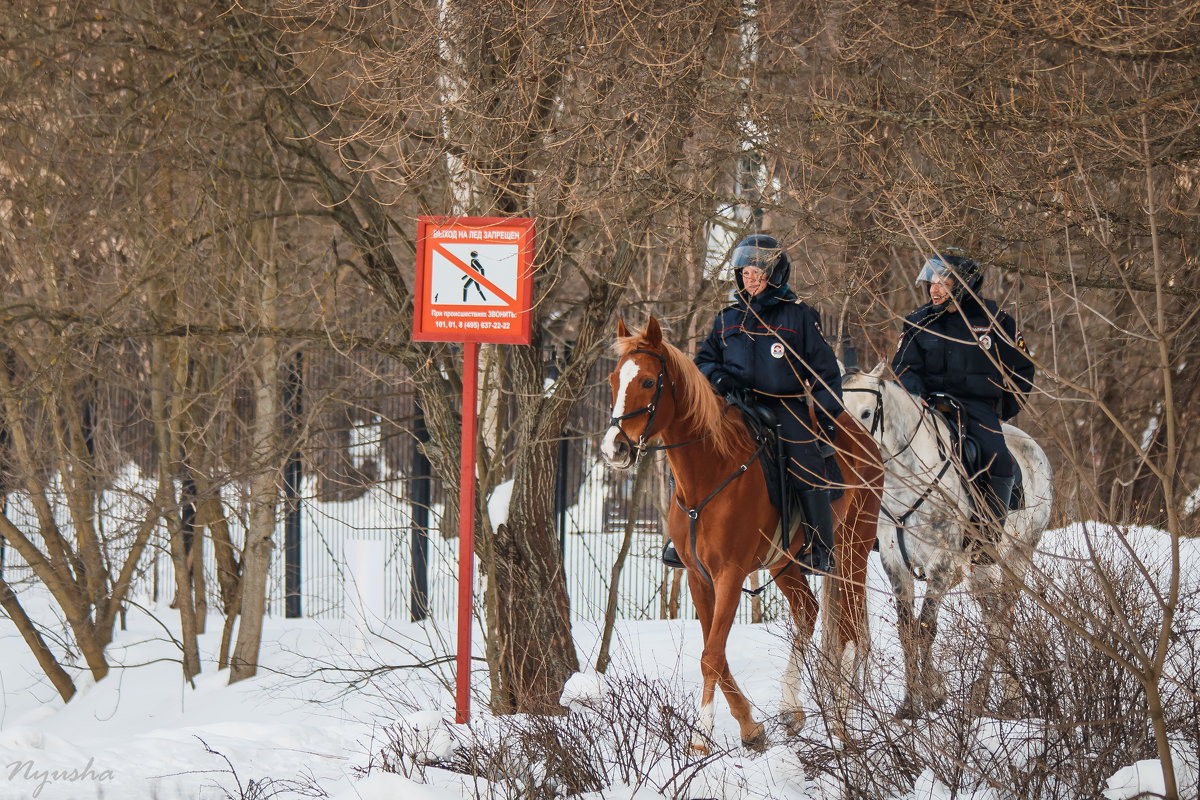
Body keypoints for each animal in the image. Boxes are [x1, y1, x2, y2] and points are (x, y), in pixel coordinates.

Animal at [597, 316, 883, 753]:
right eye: (614, 379)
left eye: (647, 381)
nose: (614, 448)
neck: (711, 470)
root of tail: (863, 437)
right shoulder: (699, 577)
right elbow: (712, 650)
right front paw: (749, 726)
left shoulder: (730, 574)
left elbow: (712, 656)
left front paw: (701, 736)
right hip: (785, 563)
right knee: (808, 612)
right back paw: (792, 707)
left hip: (854, 550)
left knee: (850, 632)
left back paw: (842, 716)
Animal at [844, 364, 1051, 719]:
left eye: (867, 412)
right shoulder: (896, 564)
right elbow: (907, 631)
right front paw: (912, 703)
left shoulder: (940, 565)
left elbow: (926, 628)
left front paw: (931, 696)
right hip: (981, 570)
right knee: (994, 620)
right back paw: (1002, 696)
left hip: (1018, 556)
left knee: (1003, 623)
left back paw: (988, 698)